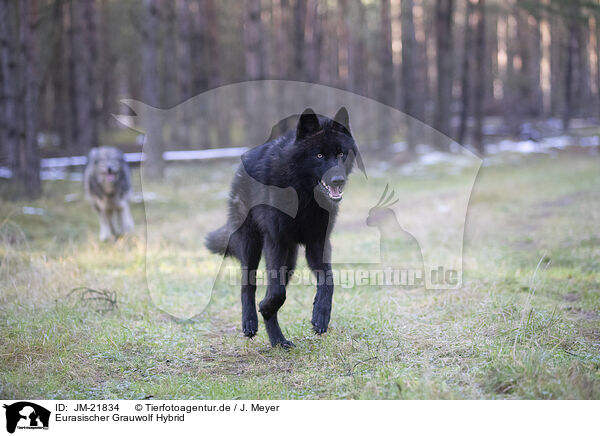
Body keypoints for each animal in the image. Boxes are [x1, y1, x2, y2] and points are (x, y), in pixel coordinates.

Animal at [206, 108, 364, 348]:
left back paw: (278, 341)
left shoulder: (318, 244)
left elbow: (328, 281)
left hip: (290, 260)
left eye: (340, 154)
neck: (304, 196)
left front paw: (320, 314)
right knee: (247, 283)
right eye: (319, 156)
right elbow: (277, 292)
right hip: (252, 246)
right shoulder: (276, 242)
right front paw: (264, 306)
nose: (338, 180)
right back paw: (251, 322)